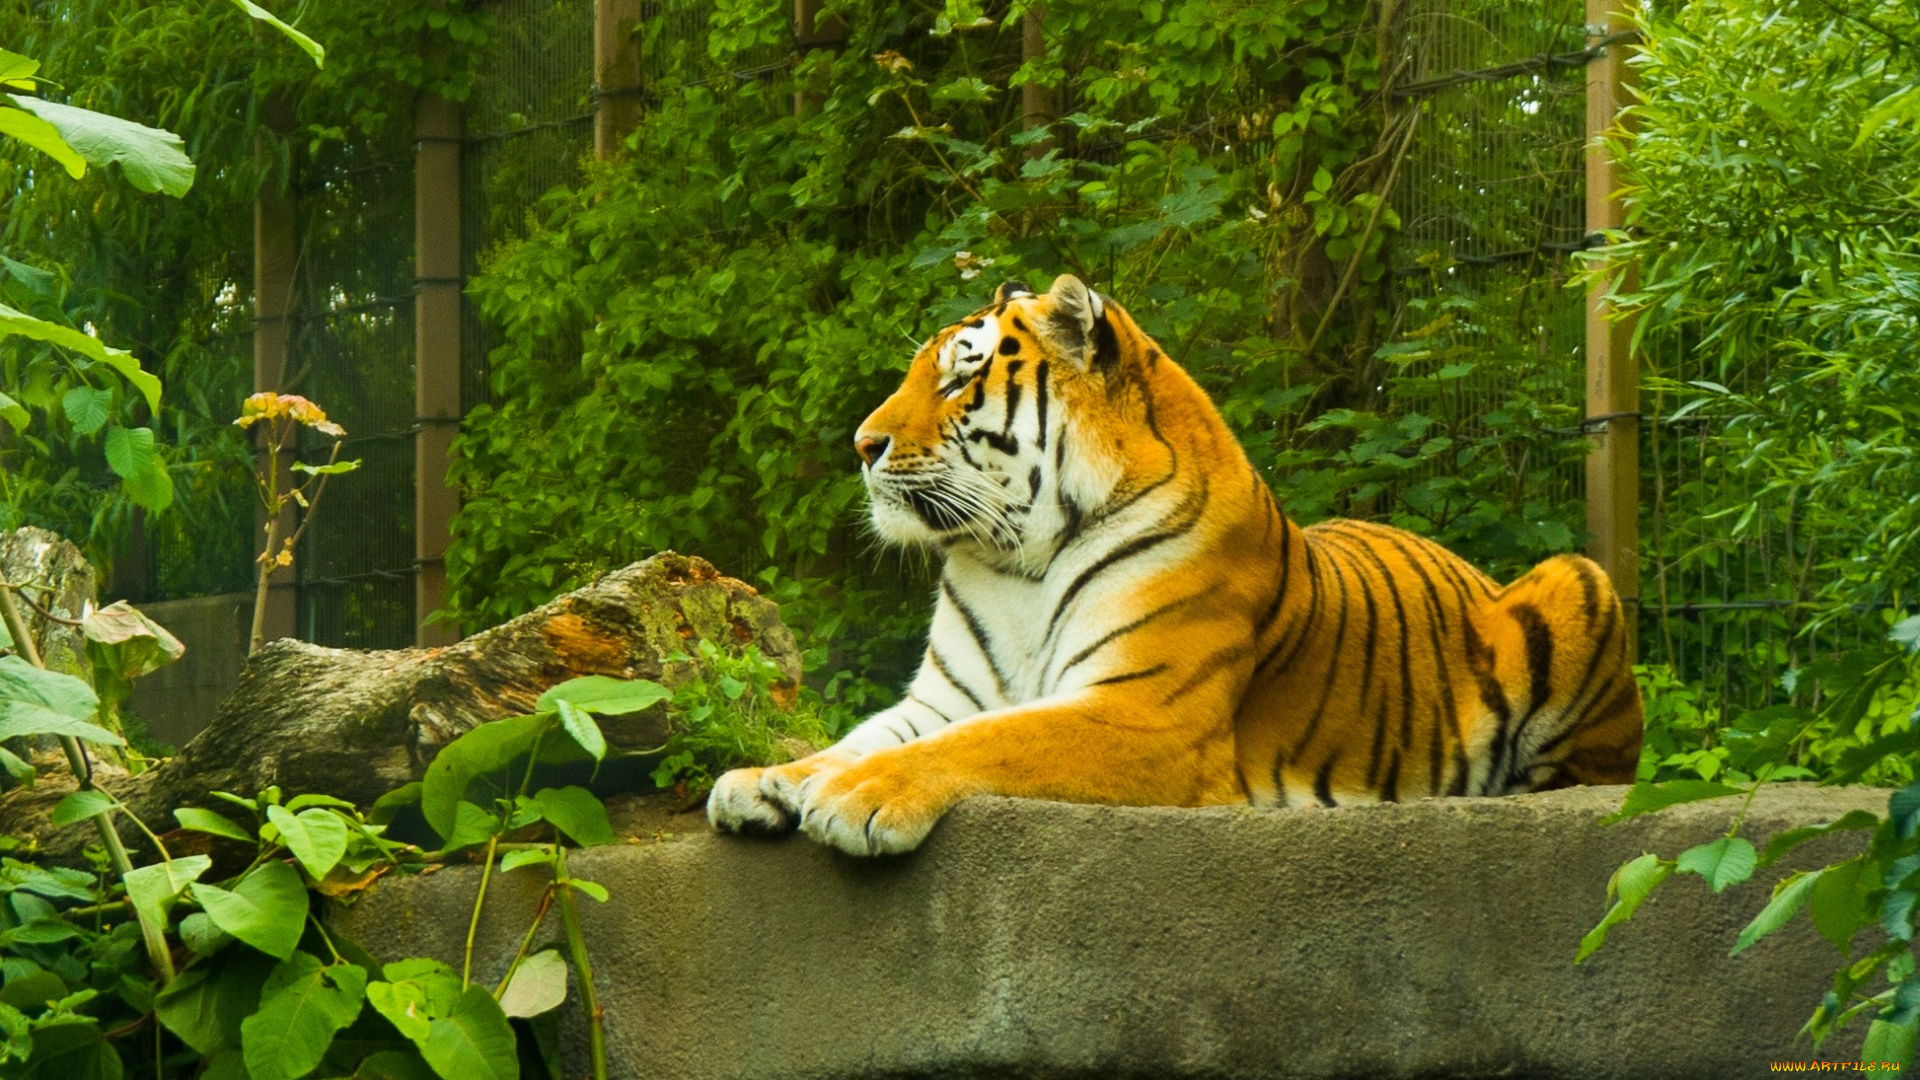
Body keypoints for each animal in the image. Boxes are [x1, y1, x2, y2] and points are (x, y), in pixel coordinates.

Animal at [708, 274, 1643, 855]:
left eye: (956, 382)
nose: (861, 445)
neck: (1012, 562)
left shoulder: (1145, 712)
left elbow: (988, 741)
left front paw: (853, 796)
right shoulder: (944, 698)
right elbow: (855, 738)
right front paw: (765, 781)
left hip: (1579, 582)